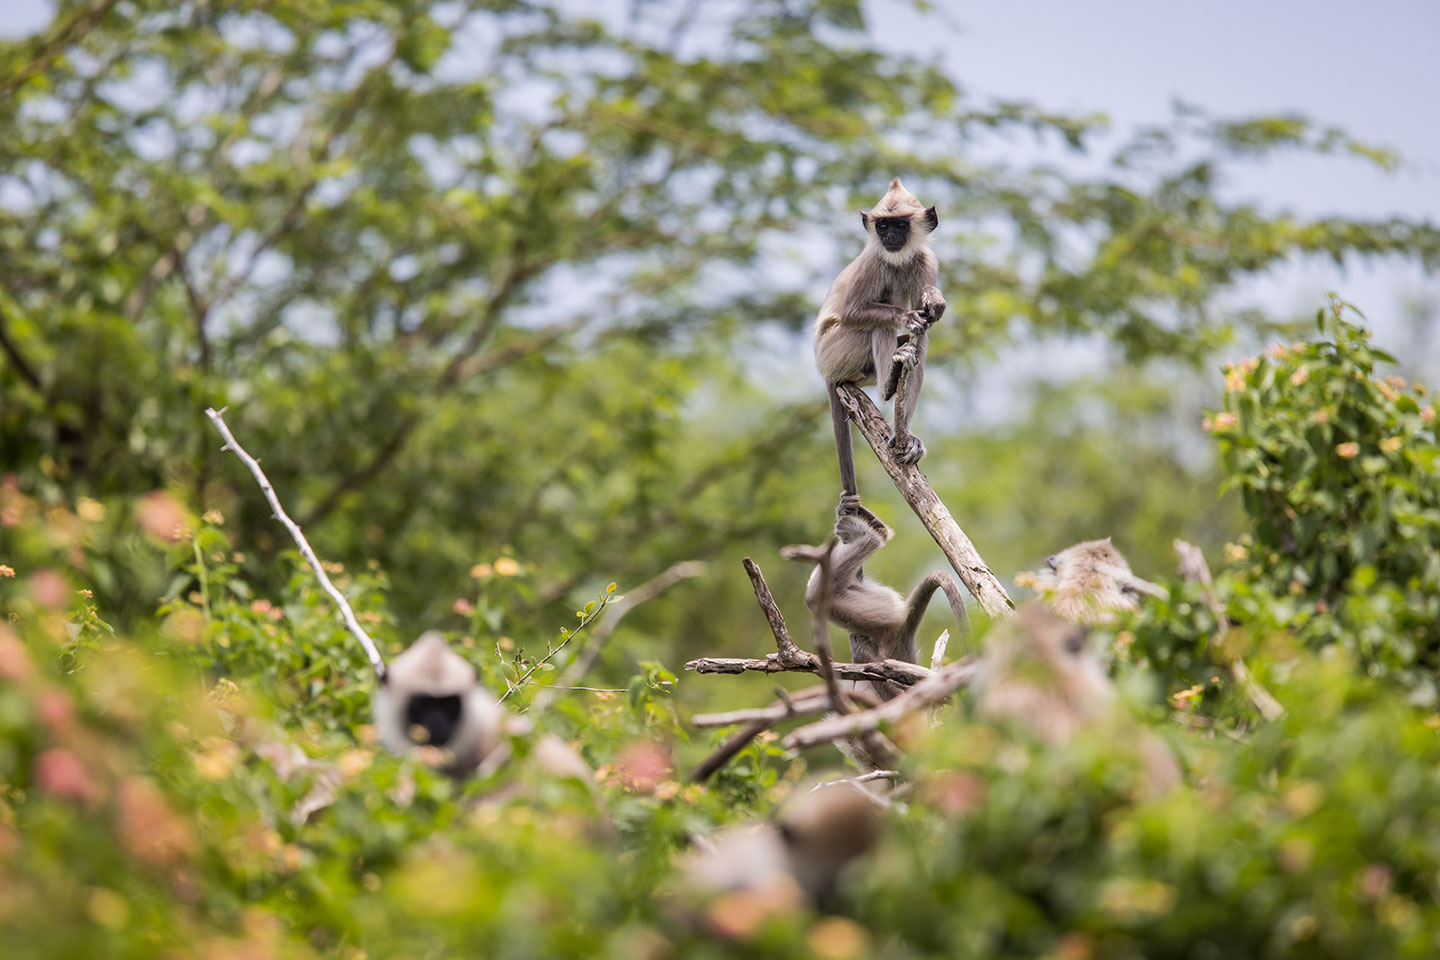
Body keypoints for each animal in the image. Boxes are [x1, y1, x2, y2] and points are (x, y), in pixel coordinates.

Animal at [813, 177, 946, 512]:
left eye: (899, 224)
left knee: (920, 345)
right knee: (879, 327)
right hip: (835, 350)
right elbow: (853, 311)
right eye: (882, 225)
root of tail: (826, 372)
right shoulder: (872, 262)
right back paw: (889, 385)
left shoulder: (925, 259)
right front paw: (907, 315)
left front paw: (935, 302)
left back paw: (904, 434)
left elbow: (927, 318)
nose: (889, 236)